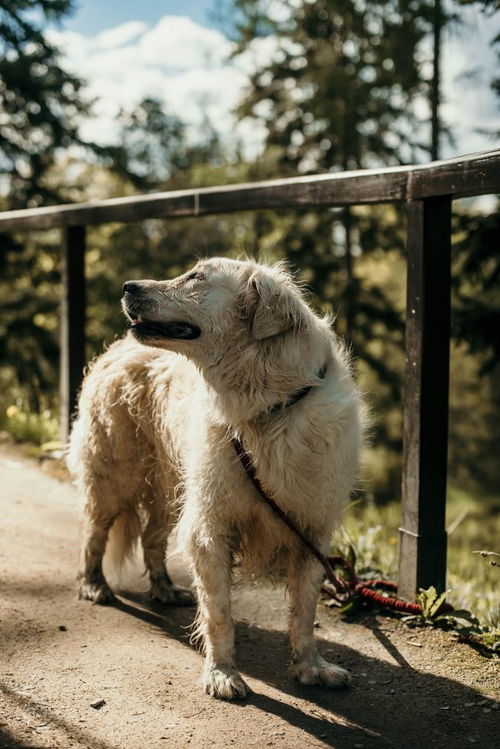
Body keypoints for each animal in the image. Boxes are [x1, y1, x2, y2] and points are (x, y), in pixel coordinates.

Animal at [67, 258, 364, 700]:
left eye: (196, 278)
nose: (127, 286)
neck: (268, 408)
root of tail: (118, 347)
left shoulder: (311, 530)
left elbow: (304, 612)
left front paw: (311, 666)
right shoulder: (211, 526)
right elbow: (219, 612)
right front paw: (222, 673)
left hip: (172, 489)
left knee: (152, 538)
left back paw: (164, 588)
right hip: (115, 476)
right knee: (94, 532)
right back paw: (93, 585)